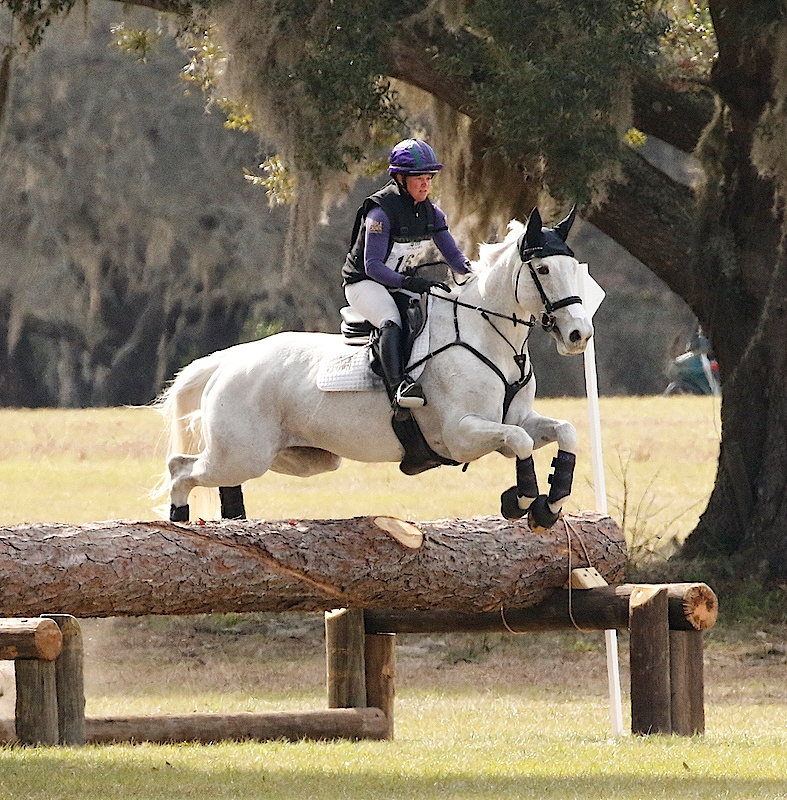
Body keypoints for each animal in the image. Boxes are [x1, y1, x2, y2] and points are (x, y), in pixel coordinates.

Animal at [156, 207, 594, 530]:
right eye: (543, 270)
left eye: (573, 268)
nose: (579, 335)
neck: (492, 338)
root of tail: (229, 360)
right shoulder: (460, 434)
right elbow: (519, 442)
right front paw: (519, 501)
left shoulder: (516, 419)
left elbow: (565, 432)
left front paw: (549, 506)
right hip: (243, 452)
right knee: (181, 469)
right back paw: (178, 524)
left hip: (297, 457)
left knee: (206, 474)